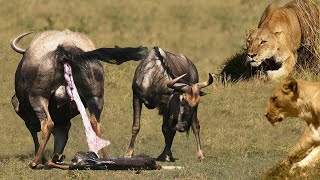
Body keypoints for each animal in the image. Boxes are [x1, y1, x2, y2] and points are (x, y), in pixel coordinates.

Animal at [10, 29, 148, 169]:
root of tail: (65, 47)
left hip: (38, 97)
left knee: (48, 124)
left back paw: (34, 162)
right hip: (95, 97)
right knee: (95, 123)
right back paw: (105, 157)